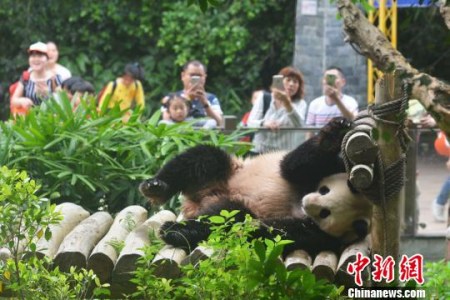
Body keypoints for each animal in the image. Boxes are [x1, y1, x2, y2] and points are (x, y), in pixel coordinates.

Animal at [141, 118, 372, 256]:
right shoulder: (331, 167)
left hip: (232, 204)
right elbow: (293, 165)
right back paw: (155, 187)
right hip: (231, 170)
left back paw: (175, 230)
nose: (307, 202)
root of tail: (200, 199)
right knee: (203, 158)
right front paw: (334, 133)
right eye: (325, 190)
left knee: (226, 216)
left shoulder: (320, 234)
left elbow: (274, 232)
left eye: (326, 212)